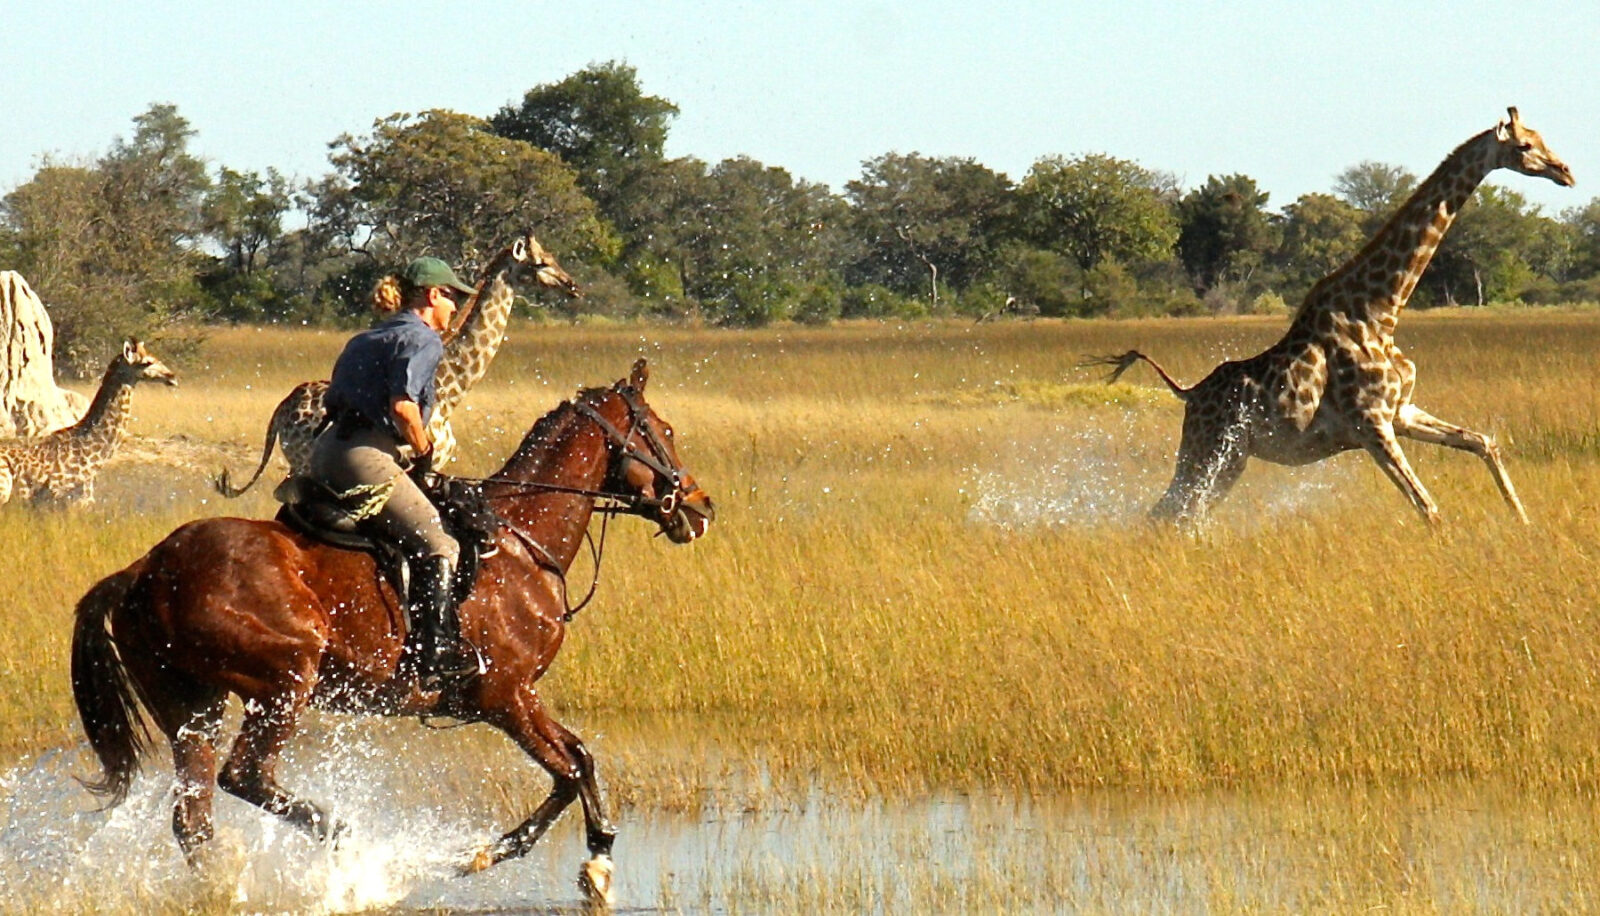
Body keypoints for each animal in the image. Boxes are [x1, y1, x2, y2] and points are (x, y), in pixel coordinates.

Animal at [70, 359, 713, 907]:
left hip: (191, 705)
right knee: (244, 776)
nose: (701, 507)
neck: (520, 542)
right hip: (284, 682)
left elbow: (579, 758)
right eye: (664, 430)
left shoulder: (519, 695)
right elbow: (569, 769)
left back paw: (226, 885)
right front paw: (495, 858)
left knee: (193, 816)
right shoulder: (503, 696)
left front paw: (592, 858)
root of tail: (144, 568)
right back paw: (344, 844)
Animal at [214, 231, 579, 497]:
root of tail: (282, 408)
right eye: (541, 262)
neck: (454, 390)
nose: (572, 285)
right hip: (305, 460)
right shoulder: (425, 463)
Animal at [1092, 108, 1573, 525]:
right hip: (1206, 450)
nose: (1566, 171)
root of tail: (1188, 393)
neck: (1382, 311)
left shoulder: (1402, 413)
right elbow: (1430, 509)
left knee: (1179, 516)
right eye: (1525, 145)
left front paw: (1523, 522)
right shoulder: (1372, 424)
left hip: (1230, 459)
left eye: (1543, 137)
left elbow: (1484, 442)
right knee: (1167, 514)